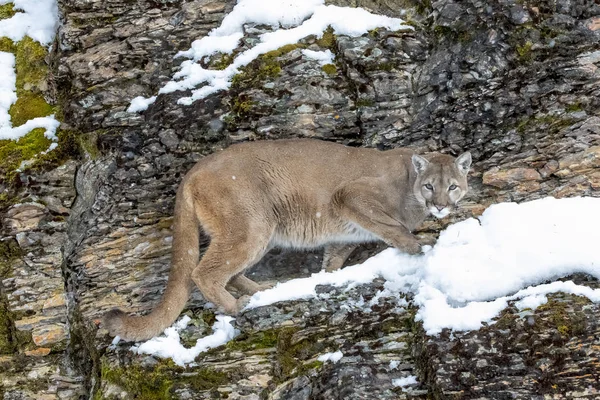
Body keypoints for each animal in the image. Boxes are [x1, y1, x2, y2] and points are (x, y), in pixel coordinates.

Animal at [103, 139, 472, 340]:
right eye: (429, 186)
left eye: (453, 186)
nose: (441, 205)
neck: (410, 185)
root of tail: (193, 170)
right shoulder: (351, 196)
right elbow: (392, 227)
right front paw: (416, 246)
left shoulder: (344, 235)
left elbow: (334, 258)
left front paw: (328, 277)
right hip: (251, 225)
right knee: (203, 272)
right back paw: (236, 306)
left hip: (264, 229)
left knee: (230, 271)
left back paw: (264, 291)